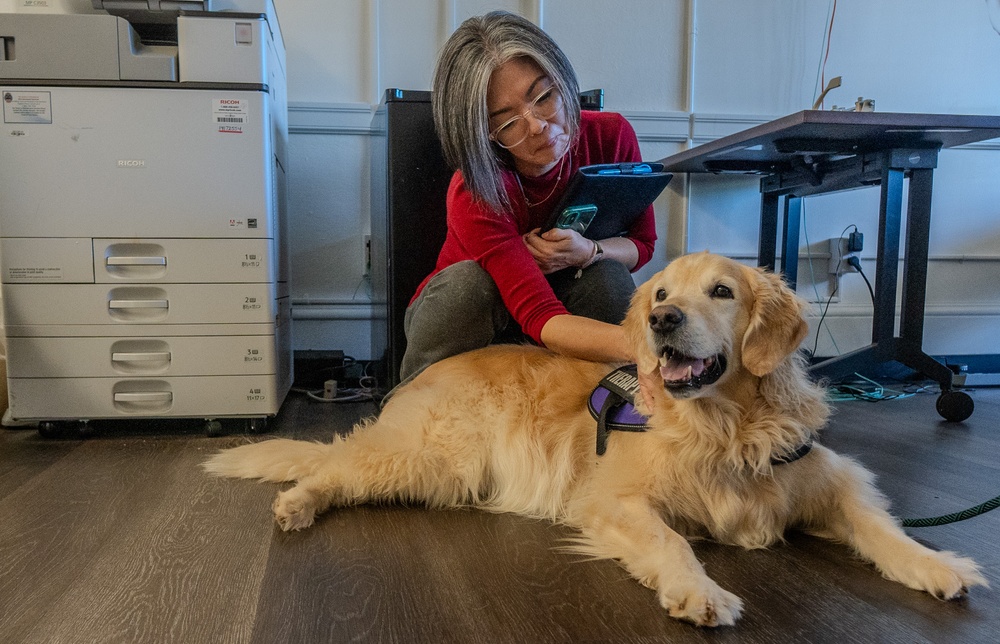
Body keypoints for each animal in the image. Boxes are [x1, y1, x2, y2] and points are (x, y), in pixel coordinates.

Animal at [203, 253, 984, 628]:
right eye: (661, 293)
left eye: (722, 291)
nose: (663, 320)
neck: (725, 426)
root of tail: (419, 377)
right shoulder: (612, 500)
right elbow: (672, 543)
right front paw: (698, 591)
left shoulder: (832, 479)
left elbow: (882, 529)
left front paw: (937, 564)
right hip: (437, 458)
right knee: (339, 462)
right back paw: (298, 502)